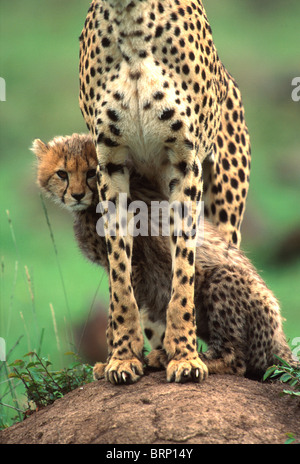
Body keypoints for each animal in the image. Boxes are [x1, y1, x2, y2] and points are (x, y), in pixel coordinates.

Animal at [79, 0, 251, 384]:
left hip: (226, 208)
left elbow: (183, 268)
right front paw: (122, 356)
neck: (131, 22)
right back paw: (149, 352)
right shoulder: (111, 164)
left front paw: (185, 355)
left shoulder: (184, 164)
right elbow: (120, 271)